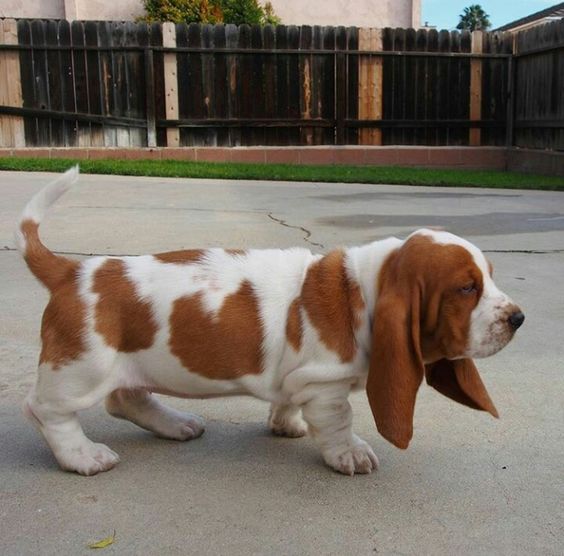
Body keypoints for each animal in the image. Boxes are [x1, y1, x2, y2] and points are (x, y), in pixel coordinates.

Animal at [15, 167, 524, 476]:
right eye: (466, 288)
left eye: (489, 276)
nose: (519, 318)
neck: (365, 287)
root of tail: (70, 271)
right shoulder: (325, 384)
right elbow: (339, 420)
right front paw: (351, 454)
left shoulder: (299, 378)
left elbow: (288, 399)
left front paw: (286, 422)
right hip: (83, 368)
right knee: (47, 410)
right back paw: (82, 456)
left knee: (126, 398)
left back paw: (175, 424)